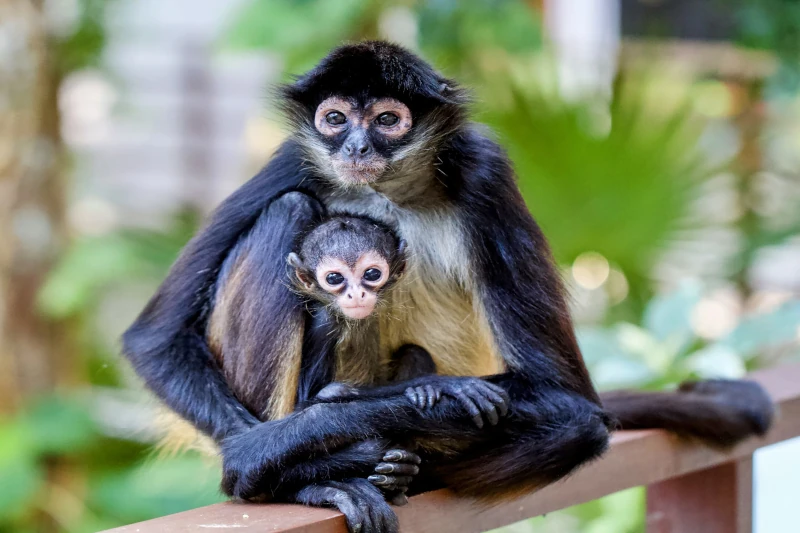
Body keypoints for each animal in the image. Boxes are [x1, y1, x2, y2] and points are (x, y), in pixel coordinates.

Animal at [122, 42, 774, 533]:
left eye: (387, 120)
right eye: (335, 118)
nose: (355, 145)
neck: (388, 191)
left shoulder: (485, 166)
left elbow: (565, 395)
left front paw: (425, 399)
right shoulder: (291, 158)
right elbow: (155, 339)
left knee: (578, 425)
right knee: (289, 207)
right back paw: (322, 479)